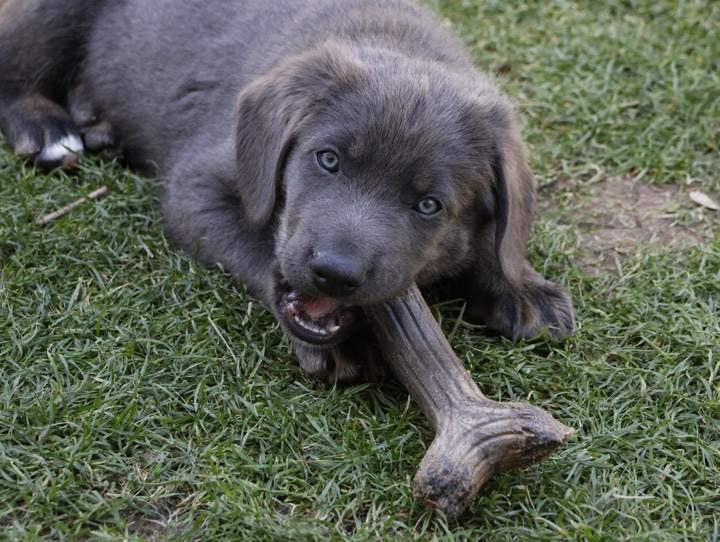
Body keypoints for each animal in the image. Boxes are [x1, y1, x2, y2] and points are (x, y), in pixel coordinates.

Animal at [0, 0, 572, 382]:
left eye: (429, 205)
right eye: (328, 160)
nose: (335, 273)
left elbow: (498, 238)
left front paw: (520, 286)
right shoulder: (198, 185)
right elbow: (256, 246)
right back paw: (47, 129)